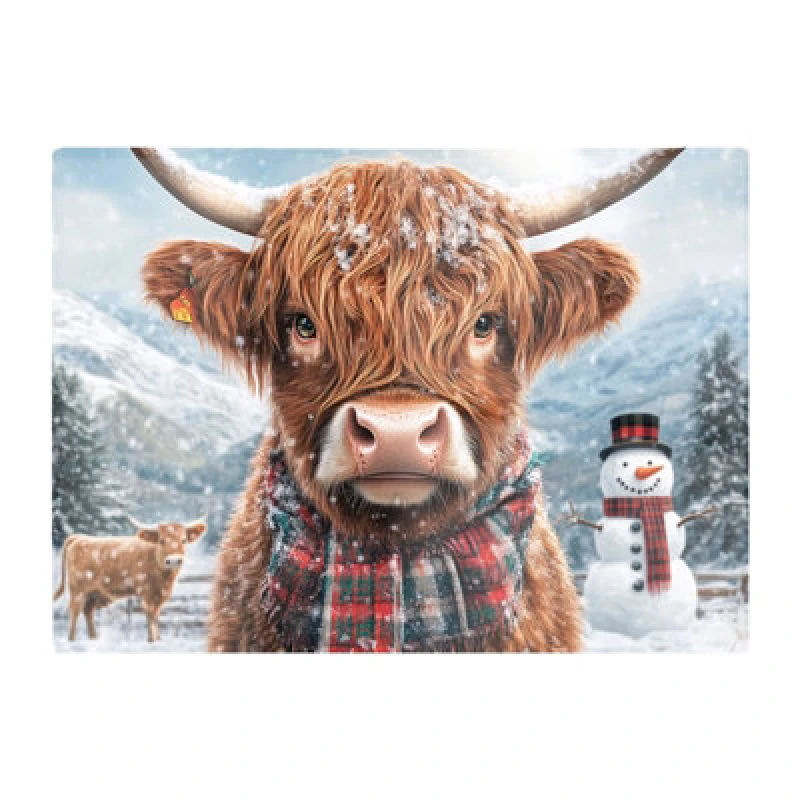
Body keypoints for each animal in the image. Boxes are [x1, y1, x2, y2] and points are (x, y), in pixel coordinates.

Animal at [53, 518, 207, 642]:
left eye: (184, 540)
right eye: (161, 540)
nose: (174, 560)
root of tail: (79, 537)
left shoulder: (160, 596)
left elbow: (156, 616)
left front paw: (158, 639)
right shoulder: (147, 594)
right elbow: (150, 616)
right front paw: (152, 640)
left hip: (93, 594)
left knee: (88, 612)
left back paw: (93, 638)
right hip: (77, 592)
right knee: (74, 613)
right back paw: (72, 639)